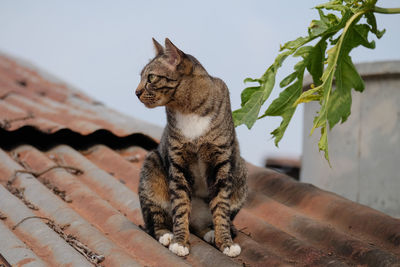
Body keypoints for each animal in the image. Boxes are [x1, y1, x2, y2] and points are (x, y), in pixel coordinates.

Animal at [135, 38, 247, 258]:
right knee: (155, 221)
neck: (189, 109)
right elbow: (180, 206)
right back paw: (166, 234)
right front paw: (180, 241)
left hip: (240, 170)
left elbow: (221, 208)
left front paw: (225, 242)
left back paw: (210, 233)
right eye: (141, 77)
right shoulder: (177, 162)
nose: (136, 92)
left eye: (151, 77)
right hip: (152, 166)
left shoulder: (221, 161)